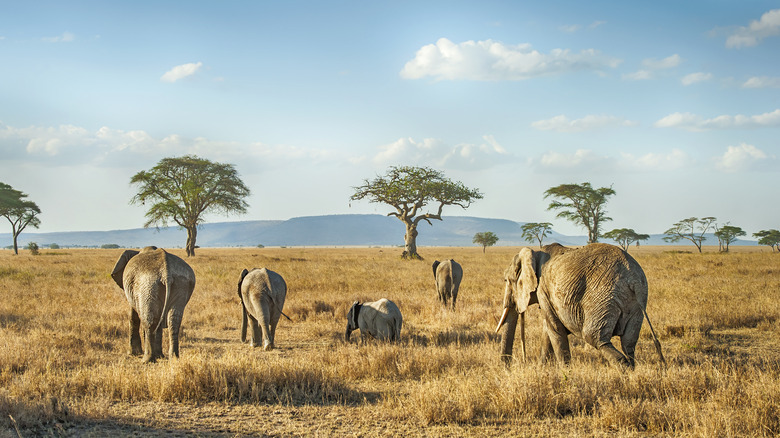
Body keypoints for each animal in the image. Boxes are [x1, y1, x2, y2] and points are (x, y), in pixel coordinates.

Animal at [496, 243, 660, 370]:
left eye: (507, 280)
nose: (507, 368)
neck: (534, 253)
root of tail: (633, 279)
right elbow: (548, 330)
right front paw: (542, 369)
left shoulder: (543, 289)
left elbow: (554, 329)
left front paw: (566, 372)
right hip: (637, 301)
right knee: (628, 342)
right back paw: (631, 371)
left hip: (603, 296)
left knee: (594, 337)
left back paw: (623, 371)